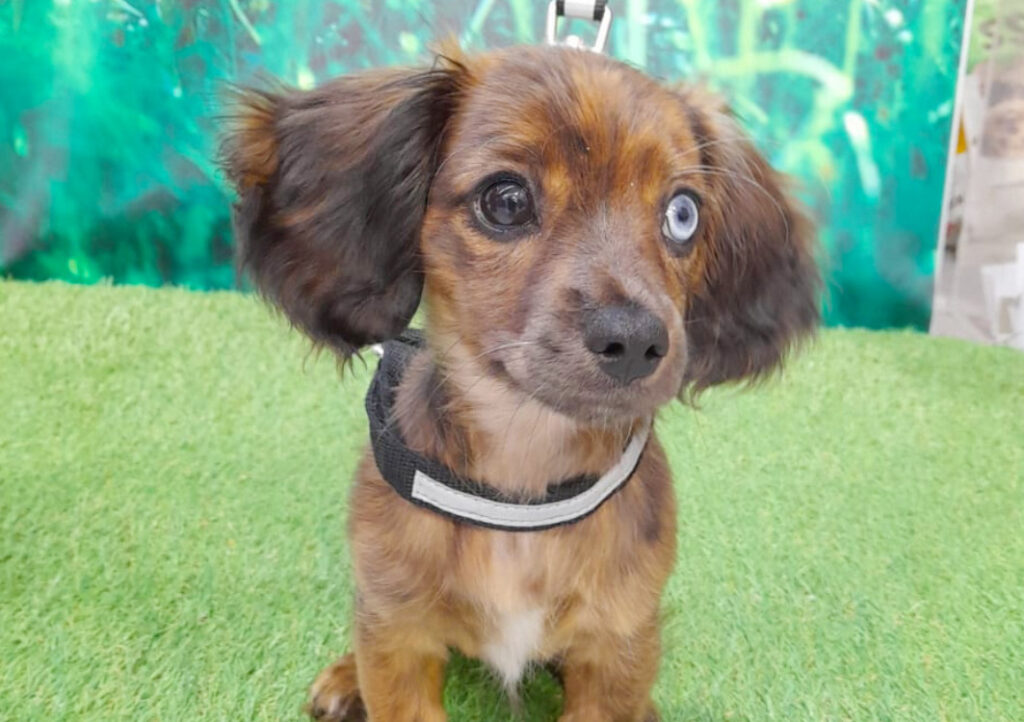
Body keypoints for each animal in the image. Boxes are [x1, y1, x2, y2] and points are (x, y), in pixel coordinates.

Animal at [220, 40, 819, 720]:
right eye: (505, 200)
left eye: (683, 213)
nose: (635, 341)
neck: (523, 481)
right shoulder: (399, 642)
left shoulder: (616, 647)